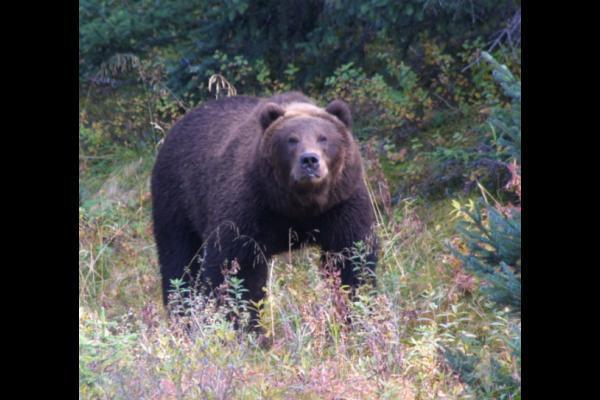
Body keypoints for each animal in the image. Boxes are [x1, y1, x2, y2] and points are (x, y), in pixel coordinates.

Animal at [151, 92, 376, 330]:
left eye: (323, 138)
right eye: (291, 139)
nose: (309, 160)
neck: (298, 204)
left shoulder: (341, 204)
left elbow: (352, 258)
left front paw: (356, 316)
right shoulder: (249, 207)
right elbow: (236, 267)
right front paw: (244, 326)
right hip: (176, 197)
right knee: (178, 258)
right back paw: (182, 315)